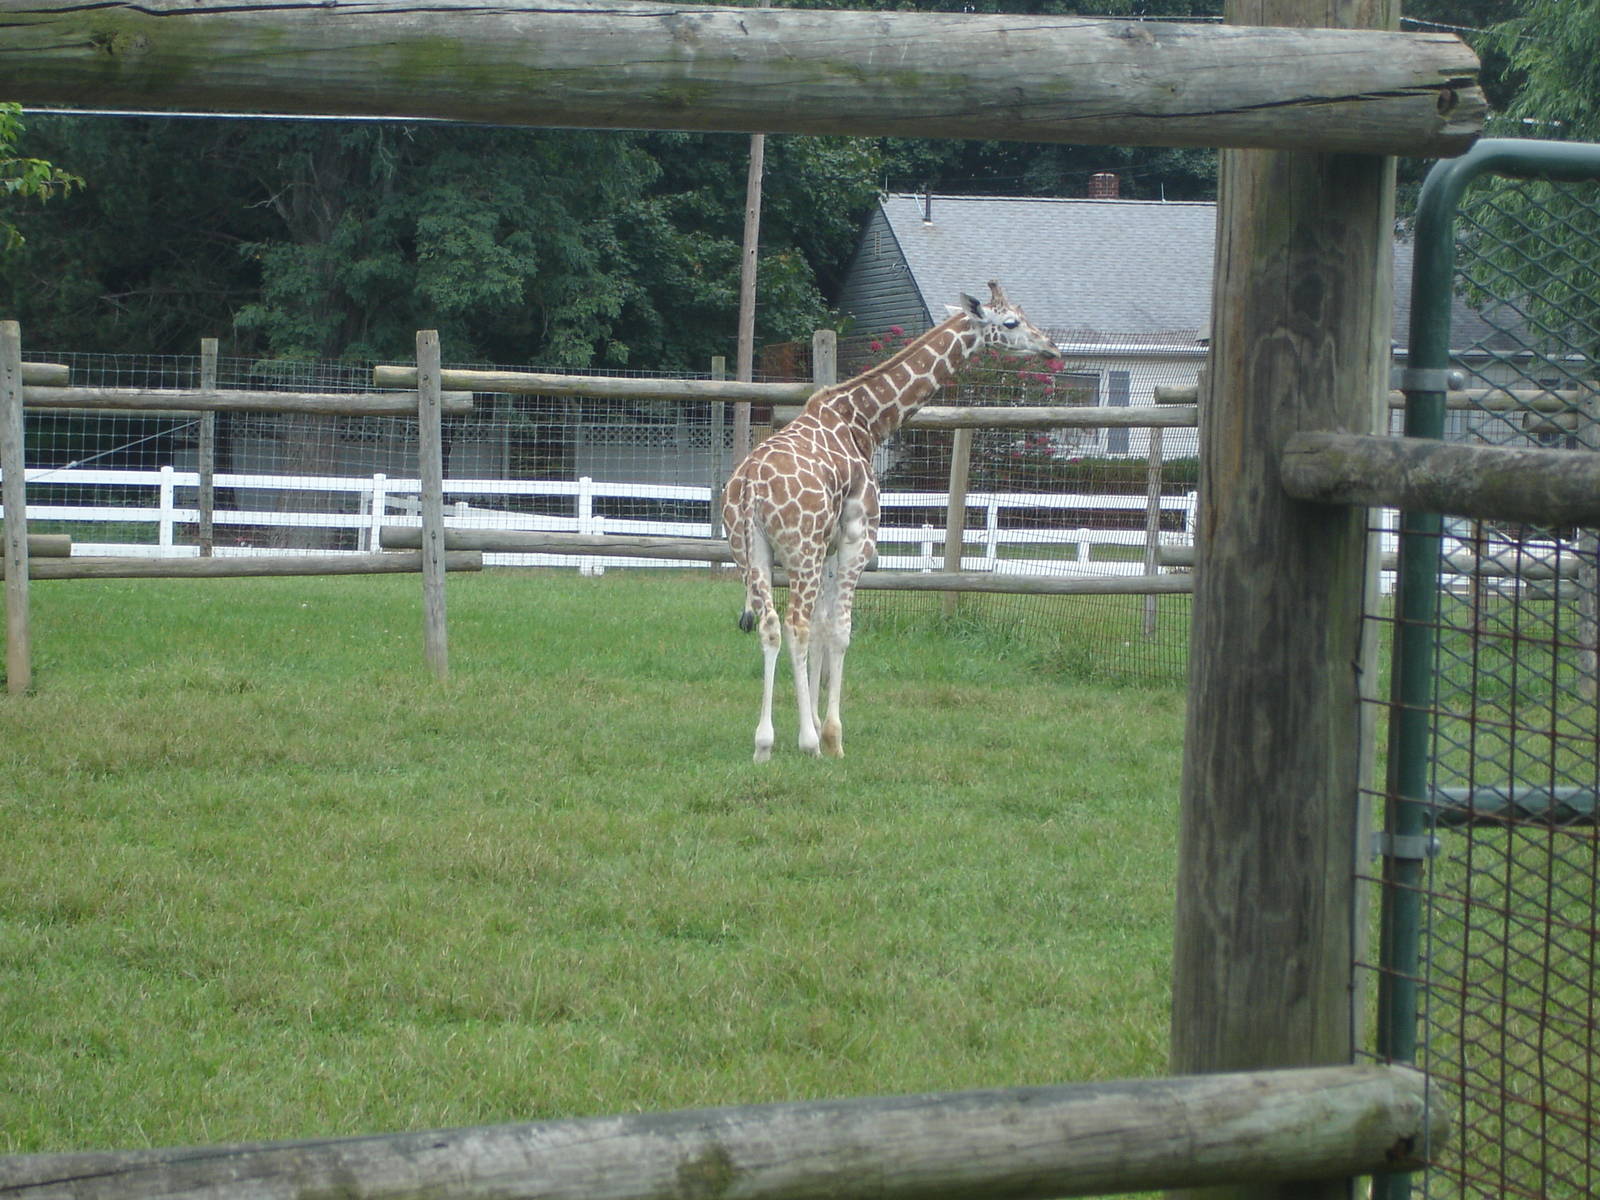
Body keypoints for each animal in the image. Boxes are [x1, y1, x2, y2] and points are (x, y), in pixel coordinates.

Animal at [722, 280, 1061, 762]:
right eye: (1011, 322)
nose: (1050, 347)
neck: (864, 422)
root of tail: (749, 485)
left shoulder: (830, 546)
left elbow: (825, 628)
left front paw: (811, 727)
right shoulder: (858, 539)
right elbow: (840, 630)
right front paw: (832, 737)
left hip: (751, 553)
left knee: (770, 626)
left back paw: (763, 744)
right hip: (800, 550)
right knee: (794, 626)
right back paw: (809, 744)